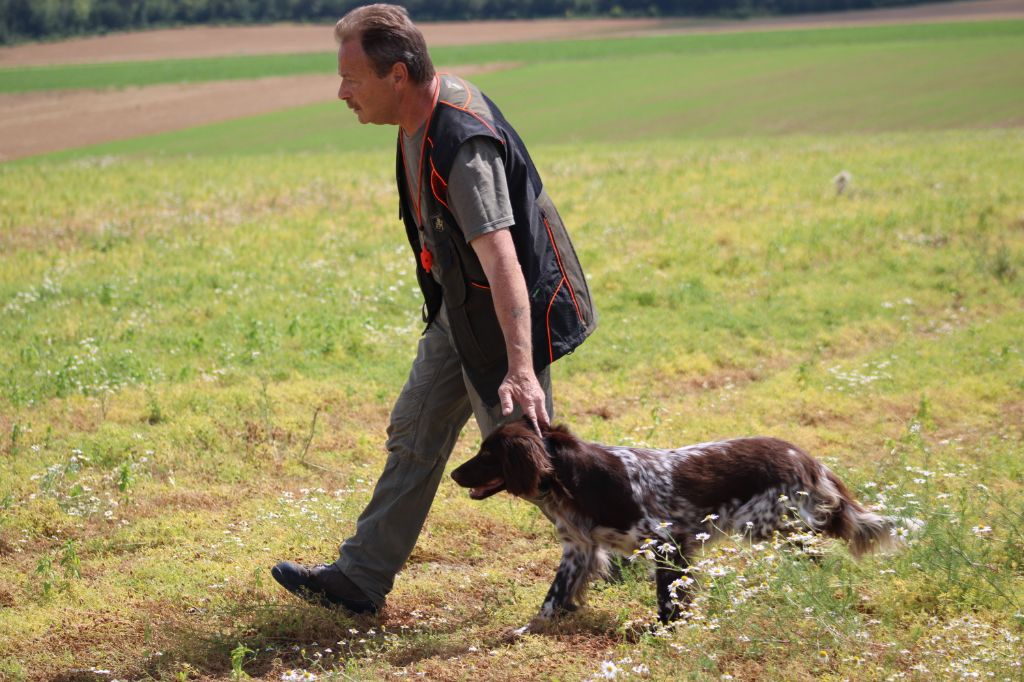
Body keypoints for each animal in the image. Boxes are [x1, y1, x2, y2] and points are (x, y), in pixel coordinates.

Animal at [452, 417, 909, 634]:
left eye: (488, 454)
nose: (454, 474)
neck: (573, 477)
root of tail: (806, 458)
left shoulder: (666, 542)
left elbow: (668, 599)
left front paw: (663, 632)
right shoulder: (579, 549)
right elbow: (552, 599)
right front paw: (526, 631)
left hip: (771, 525)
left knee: (819, 550)